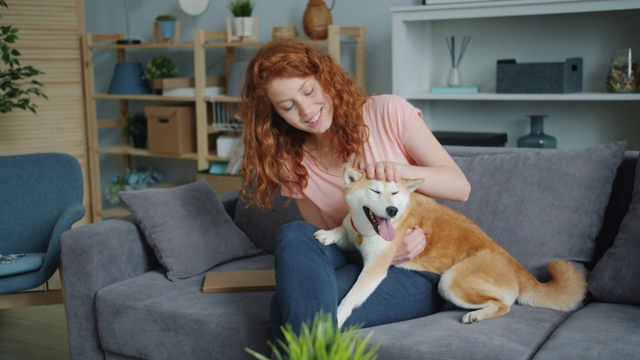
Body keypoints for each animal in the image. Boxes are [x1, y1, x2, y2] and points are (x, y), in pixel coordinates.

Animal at [312, 167, 588, 328]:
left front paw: (336, 316)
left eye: (394, 193)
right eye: (375, 191)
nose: (392, 211)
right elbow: (343, 229)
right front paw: (329, 233)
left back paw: (476, 315)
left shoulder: (374, 270)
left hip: (451, 282)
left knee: (504, 305)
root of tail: (519, 269)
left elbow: (350, 298)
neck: (366, 228)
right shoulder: (354, 232)